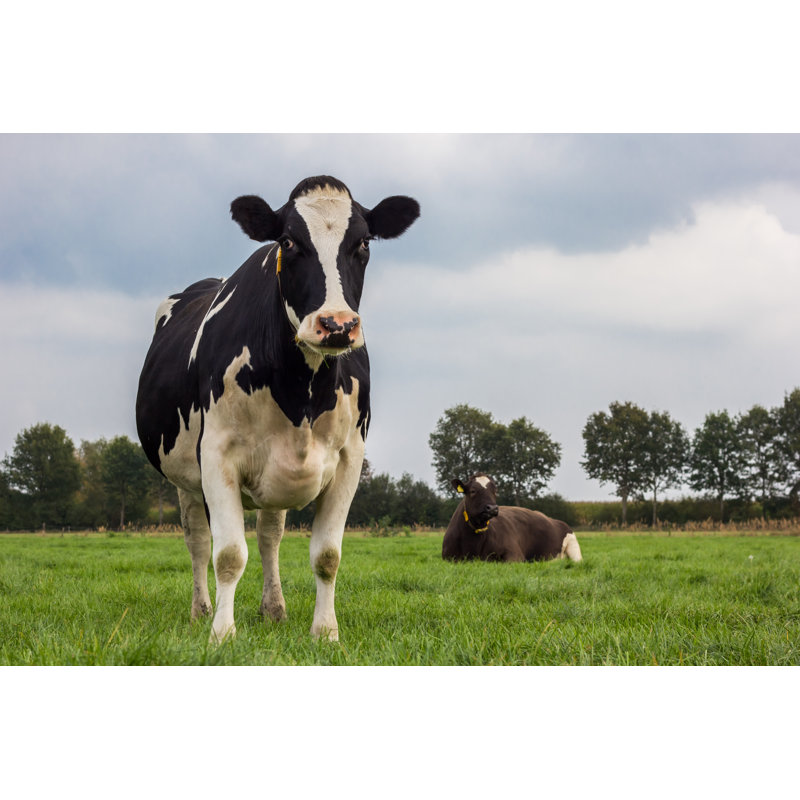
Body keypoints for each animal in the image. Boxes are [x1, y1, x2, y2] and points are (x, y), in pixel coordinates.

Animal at [136, 175, 420, 643]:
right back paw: (201, 611)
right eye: (288, 241)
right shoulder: (216, 456)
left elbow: (327, 555)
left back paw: (274, 608)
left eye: (363, 242)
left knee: (269, 536)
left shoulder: (349, 458)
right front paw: (221, 634)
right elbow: (228, 555)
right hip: (185, 478)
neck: (301, 391)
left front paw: (325, 632)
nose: (337, 324)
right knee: (197, 541)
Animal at [442, 473, 582, 563]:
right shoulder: (448, 558)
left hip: (574, 547)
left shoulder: (515, 555)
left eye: (495, 491)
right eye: (473, 491)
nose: (492, 508)